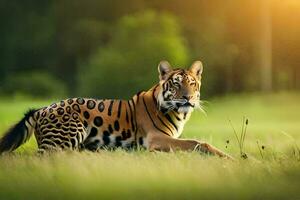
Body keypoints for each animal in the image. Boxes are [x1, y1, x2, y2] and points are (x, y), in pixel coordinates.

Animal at [0, 60, 232, 159]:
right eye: (176, 84)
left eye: (192, 83)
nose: (188, 97)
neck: (179, 113)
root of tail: (40, 109)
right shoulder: (156, 139)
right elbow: (197, 143)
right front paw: (231, 158)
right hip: (66, 136)